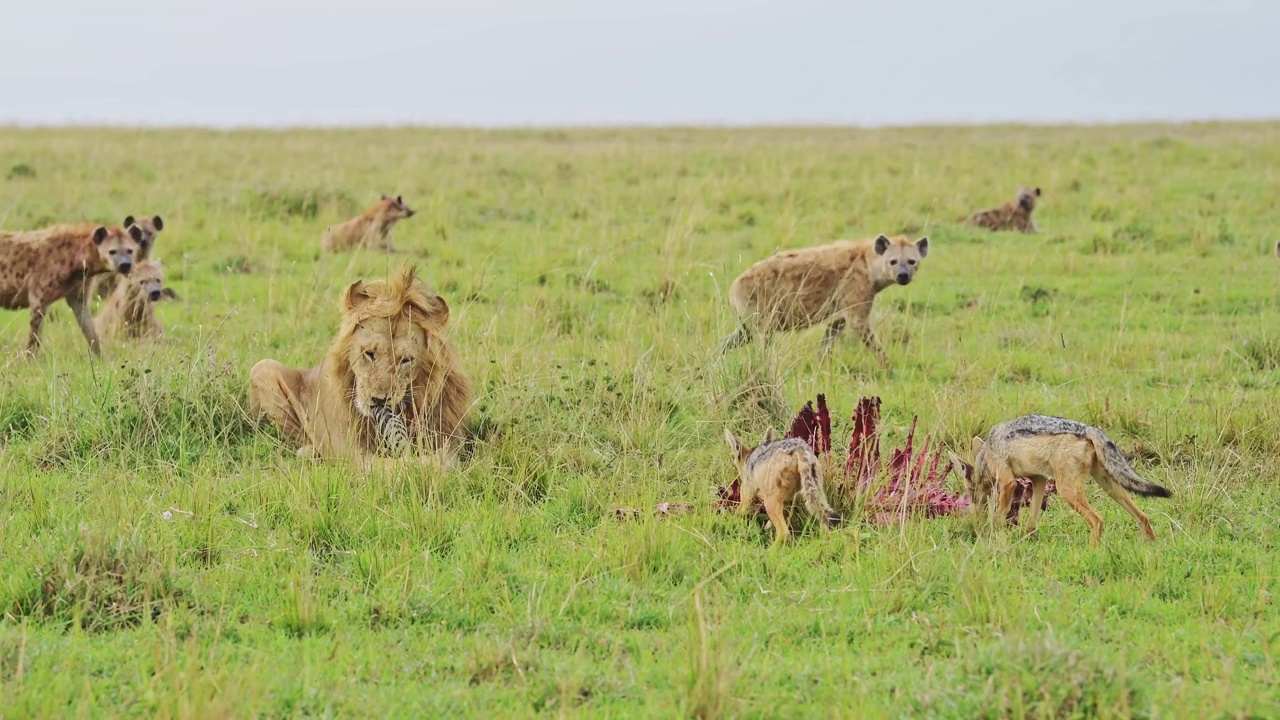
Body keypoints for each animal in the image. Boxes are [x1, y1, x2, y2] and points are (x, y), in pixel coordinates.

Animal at [247, 265, 473, 466]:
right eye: (369, 354)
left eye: (405, 360)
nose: (379, 400)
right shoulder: (352, 452)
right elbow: (392, 466)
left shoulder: (448, 437)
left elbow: (443, 459)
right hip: (262, 367)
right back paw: (309, 452)